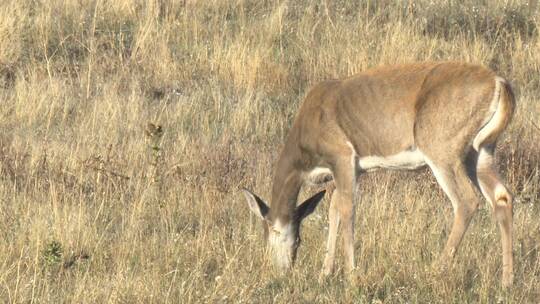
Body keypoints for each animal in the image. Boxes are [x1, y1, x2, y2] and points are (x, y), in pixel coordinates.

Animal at [243, 61, 516, 288]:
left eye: (272, 232)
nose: (280, 271)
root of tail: (498, 83)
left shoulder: (342, 156)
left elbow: (347, 210)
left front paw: (351, 275)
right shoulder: (348, 170)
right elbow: (333, 210)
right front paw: (325, 273)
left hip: (442, 150)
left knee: (466, 200)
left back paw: (434, 271)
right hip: (480, 153)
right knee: (502, 197)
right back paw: (506, 281)